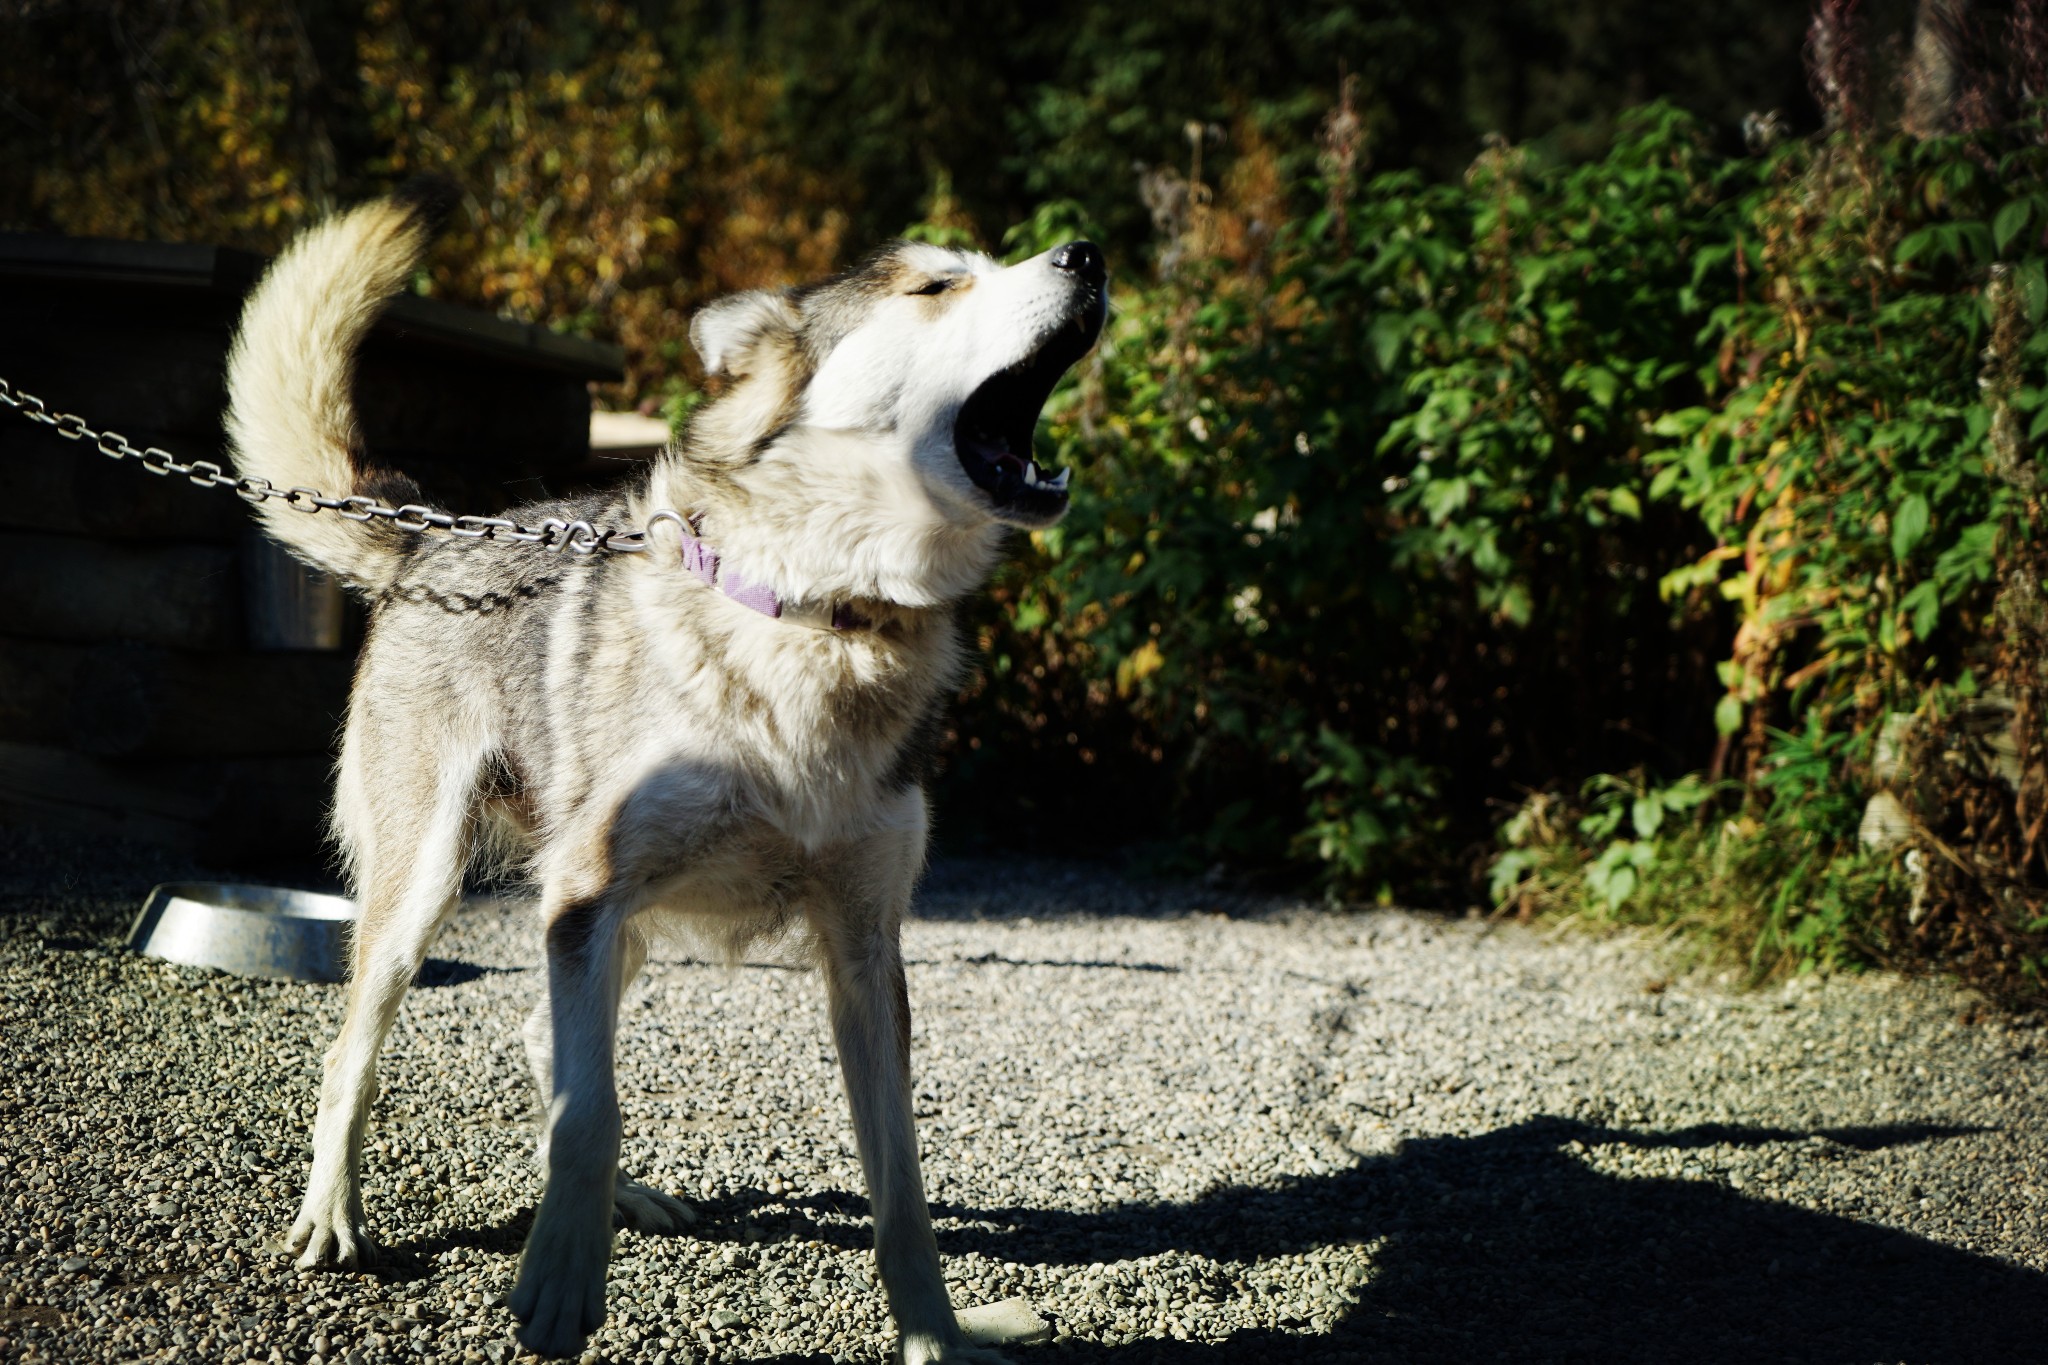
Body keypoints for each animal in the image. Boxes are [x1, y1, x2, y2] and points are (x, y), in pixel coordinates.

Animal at [228, 184, 1105, 1365]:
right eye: (936, 284)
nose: (1089, 254)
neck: (819, 616)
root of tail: (432, 533)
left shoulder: (862, 948)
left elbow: (900, 1184)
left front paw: (934, 1333)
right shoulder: (586, 897)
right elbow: (589, 1116)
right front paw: (559, 1279)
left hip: (619, 928)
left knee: (540, 1034)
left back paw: (623, 1201)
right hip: (432, 896)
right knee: (357, 1056)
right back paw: (334, 1214)